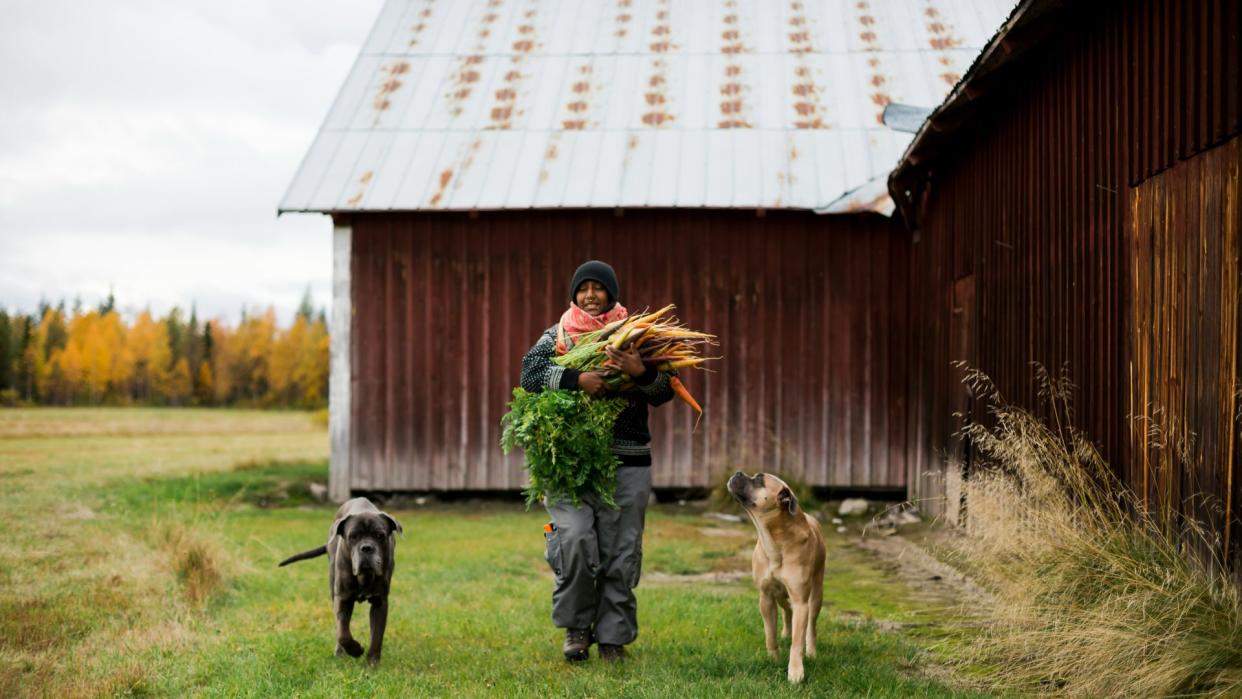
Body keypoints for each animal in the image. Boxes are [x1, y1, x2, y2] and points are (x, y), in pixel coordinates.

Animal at [280, 496, 402, 665]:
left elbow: (377, 635)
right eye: (353, 536)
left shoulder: (380, 602)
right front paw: (356, 650)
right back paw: (340, 651)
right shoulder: (343, 599)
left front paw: (372, 662)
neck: (363, 576)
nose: (366, 548)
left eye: (379, 535)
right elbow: (342, 633)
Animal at [725, 469, 824, 685]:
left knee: (811, 625)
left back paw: (812, 651)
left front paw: (795, 671)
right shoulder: (766, 596)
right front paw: (773, 658)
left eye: (759, 480)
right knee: (787, 610)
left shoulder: (801, 601)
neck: (775, 541)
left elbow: (797, 642)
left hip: (816, 594)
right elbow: (769, 632)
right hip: (779, 594)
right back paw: (786, 632)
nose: (737, 472)